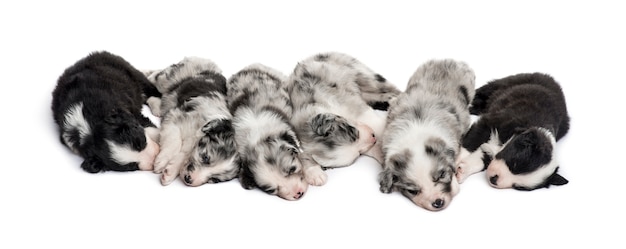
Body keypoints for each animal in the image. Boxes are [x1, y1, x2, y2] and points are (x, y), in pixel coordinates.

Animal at [145, 57, 238, 186]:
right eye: (205, 157)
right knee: (155, 76)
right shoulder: (175, 118)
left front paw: (169, 173)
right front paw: (161, 161)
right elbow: (174, 142)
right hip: (169, 77)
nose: (189, 179)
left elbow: (182, 157)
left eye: (214, 179)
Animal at [288, 51, 400, 186]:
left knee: (391, 90)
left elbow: (375, 123)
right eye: (358, 153)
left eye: (352, 131)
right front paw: (314, 173)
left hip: (365, 75)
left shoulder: (350, 104)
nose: (373, 136)